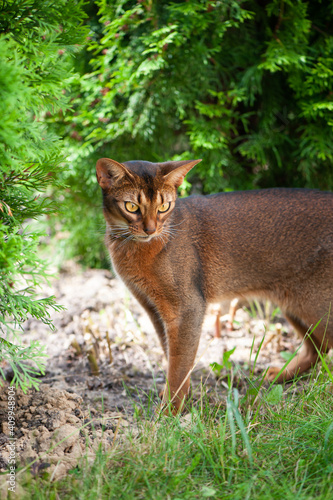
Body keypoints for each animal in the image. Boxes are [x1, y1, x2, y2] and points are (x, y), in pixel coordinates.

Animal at [95, 158, 332, 412]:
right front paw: (176, 397)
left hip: (315, 306)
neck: (132, 248)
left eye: (164, 207)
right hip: (293, 305)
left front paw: (171, 411)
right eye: (131, 207)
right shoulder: (152, 307)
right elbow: (170, 354)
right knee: (318, 348)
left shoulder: (187, 307)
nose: (151, 229)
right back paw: (281, 375)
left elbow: (178, 365)